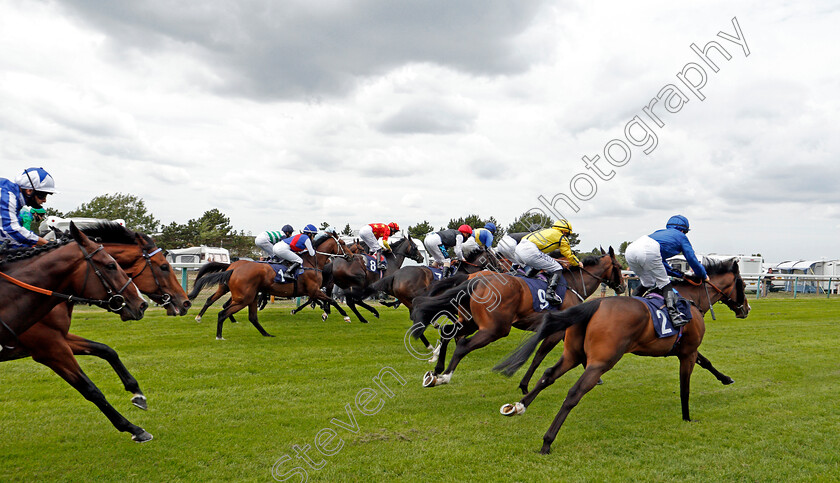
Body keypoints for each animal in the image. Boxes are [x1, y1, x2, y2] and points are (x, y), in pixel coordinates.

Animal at [188, 234, 352, 340]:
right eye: (343, 244)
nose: (351, 256)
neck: (311, 262)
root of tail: (233, 268)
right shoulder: (314, 290)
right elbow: (332, 300)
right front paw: (345, 316)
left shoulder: (312, 292)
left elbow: (324, 301)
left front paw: (325, 313)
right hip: (243, 297)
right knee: (223, 311)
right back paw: (219, 335)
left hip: (246, 295)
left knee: (248, 315)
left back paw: (266, 334)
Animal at [410, 250, 628, 390]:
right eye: (618, 266)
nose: (623, 286)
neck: (572, 284)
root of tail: (477, 279)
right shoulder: (556, 331)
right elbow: (538, 357)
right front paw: (524, 385)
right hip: (495, 329)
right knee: (463, 345)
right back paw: (445, 376)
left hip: (470, 321)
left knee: (447, 332)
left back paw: (437, 370)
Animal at [492, 260, 748, 456]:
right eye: (743, 284)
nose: (746, 309)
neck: (689, 299)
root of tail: (596, 303)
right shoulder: (688, 351)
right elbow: (686, 385)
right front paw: (687, 417)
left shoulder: (684, 349)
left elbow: (706, 362)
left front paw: (726, 379)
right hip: (602, 362)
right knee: (574, 392)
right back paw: (547, 441)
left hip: (572, 355)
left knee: (548, 375)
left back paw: (519, 406)